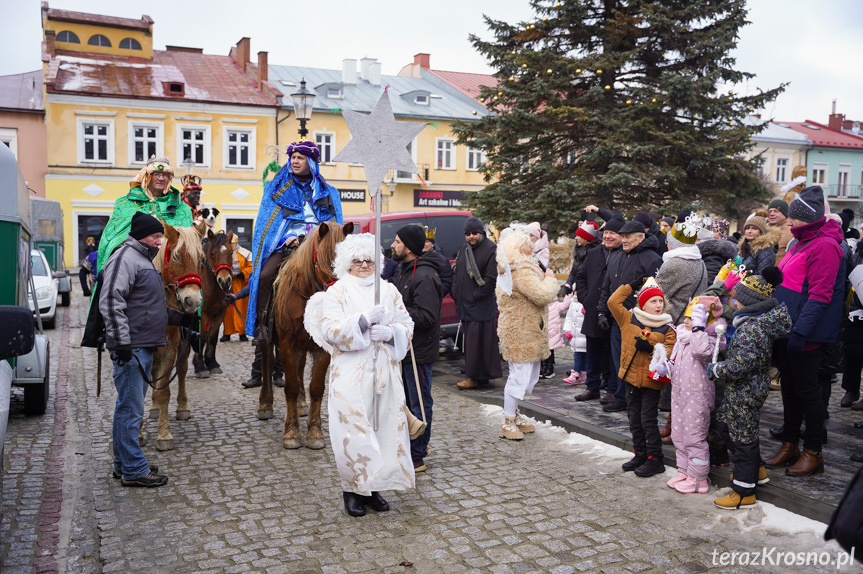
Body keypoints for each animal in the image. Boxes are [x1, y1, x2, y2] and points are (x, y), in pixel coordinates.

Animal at [149, 225, 207, 454]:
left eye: (202, 259)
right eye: (176, 255)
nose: (193, 301)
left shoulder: (170, 349)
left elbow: (164, 389)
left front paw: (164, 434)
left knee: (181, 370)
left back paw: (182, 407)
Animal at [193, 227, 236, 380]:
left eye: (230, 253)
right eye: (212, 254)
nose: (225, 281)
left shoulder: (220, 313)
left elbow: (212, 337)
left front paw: (212, 363)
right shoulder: (202, 314)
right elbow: (202, 336)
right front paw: (200, 366)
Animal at [256, 220, 354, 450]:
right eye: (326, 263)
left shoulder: (321, 348)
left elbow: (316, 388)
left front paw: (315, 433)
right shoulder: (287, 345)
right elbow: (290, 386)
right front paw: (291, 433)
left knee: (300, 369)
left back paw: (301, 404)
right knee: (267, 361)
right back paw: (265, 404)